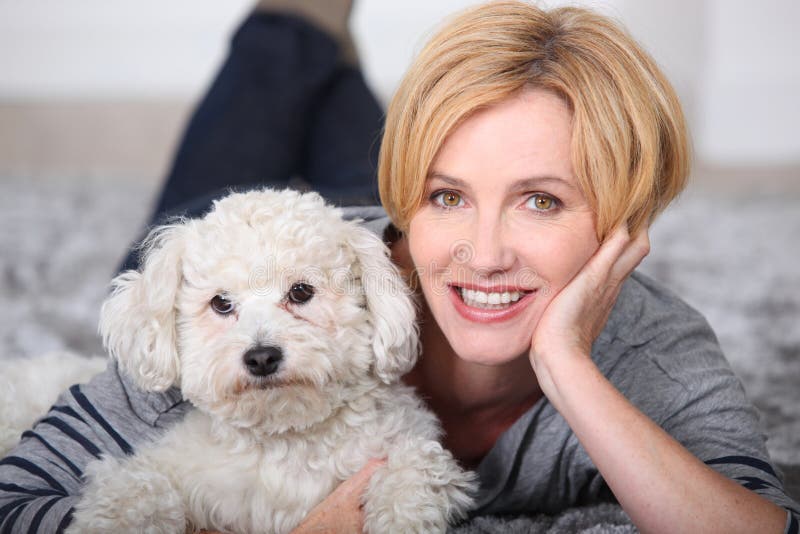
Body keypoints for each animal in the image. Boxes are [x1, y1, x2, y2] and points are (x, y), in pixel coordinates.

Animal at [69, 191, 476, 534]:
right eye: (221, 303)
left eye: (301, 292)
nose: (262, 357)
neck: (286, 439)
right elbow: (137, 489)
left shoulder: (406, 441)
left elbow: (418, 466)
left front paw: (401, 512)